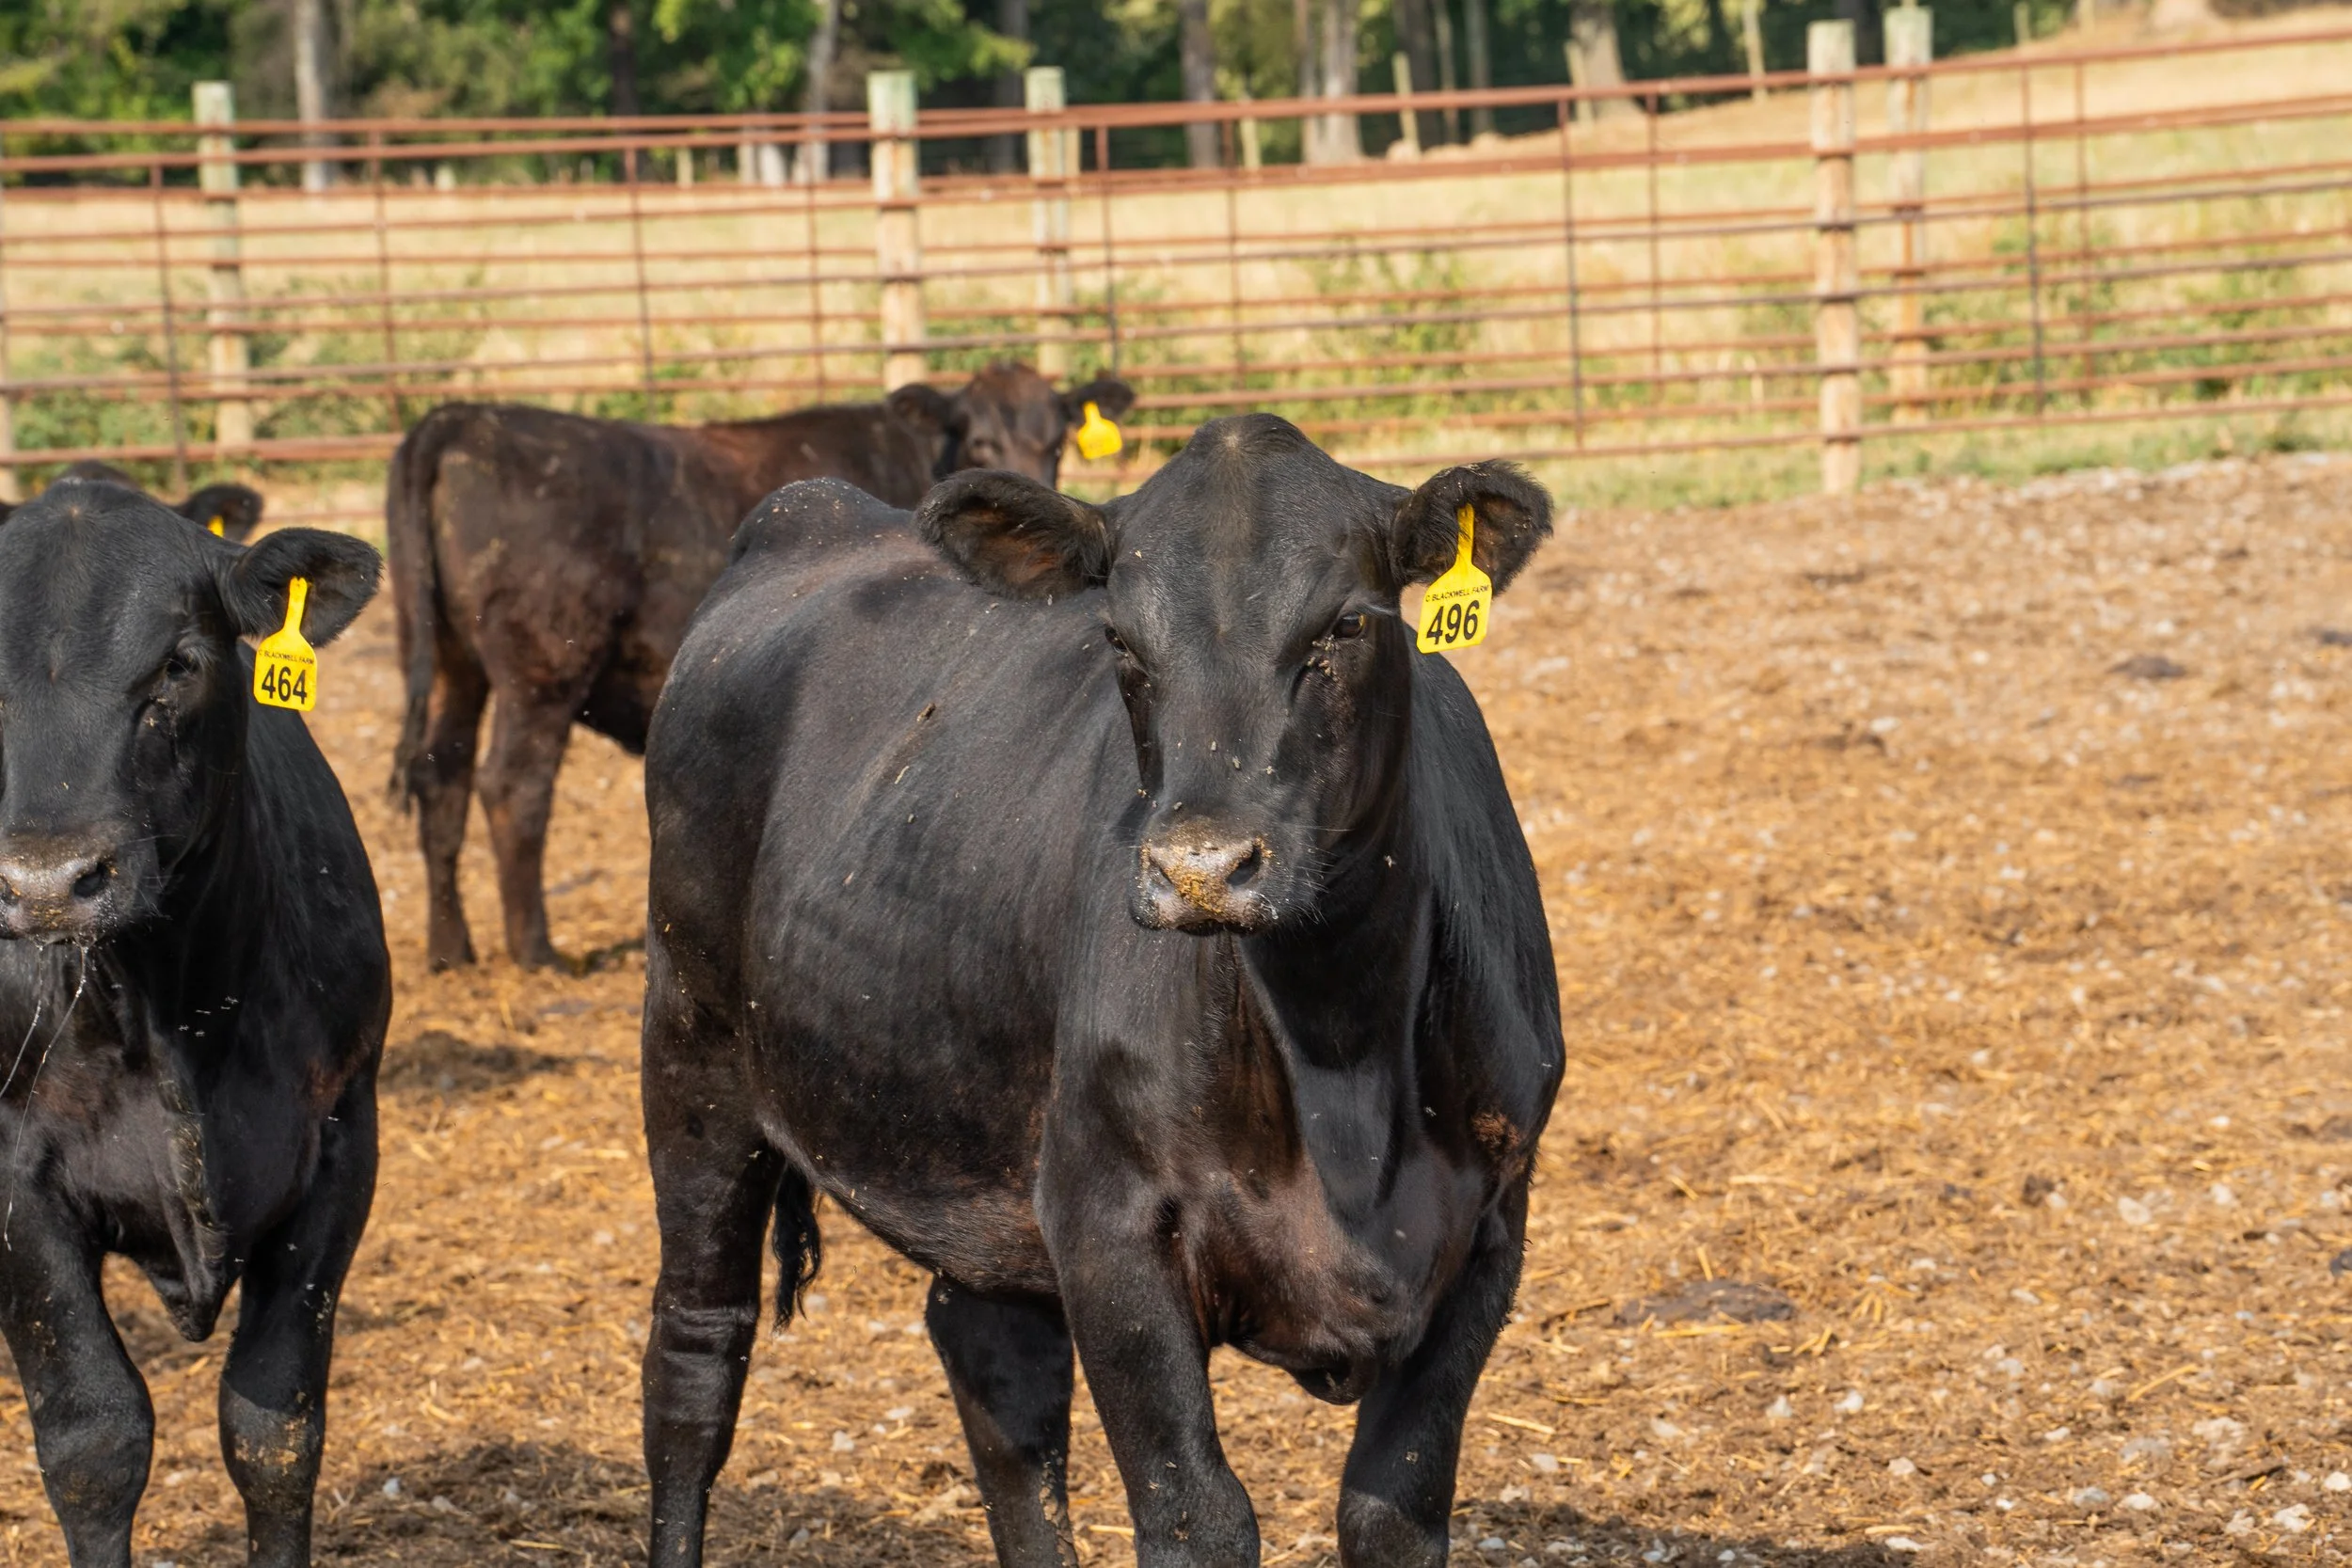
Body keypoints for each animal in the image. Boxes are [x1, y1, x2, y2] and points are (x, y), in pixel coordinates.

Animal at [0, 474, 387, 1568]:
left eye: (178, 662)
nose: (49, 879)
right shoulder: (13, 1174)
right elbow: (93, 1436)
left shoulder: (341, 1136)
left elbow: (273, 1425)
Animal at [385, 362, 1135, 972]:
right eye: (978, 441)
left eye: (1056, 441)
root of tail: (463, 417)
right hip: (540, 670)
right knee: (512, 786)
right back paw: (536, 950)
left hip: (452, 662)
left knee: (441, 775)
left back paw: (451, 947)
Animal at [637, 414, 1564, 1568]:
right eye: (1121, 639)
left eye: (1346, 623)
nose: (1200, 866)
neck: (1339, 1053)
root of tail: (811, 508)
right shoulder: (1105, 1223)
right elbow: (1196, 1512)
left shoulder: (1488, 1233)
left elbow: (1392, 1506)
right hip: (692, 1051)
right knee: (695, 1360)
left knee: (998, 1378)